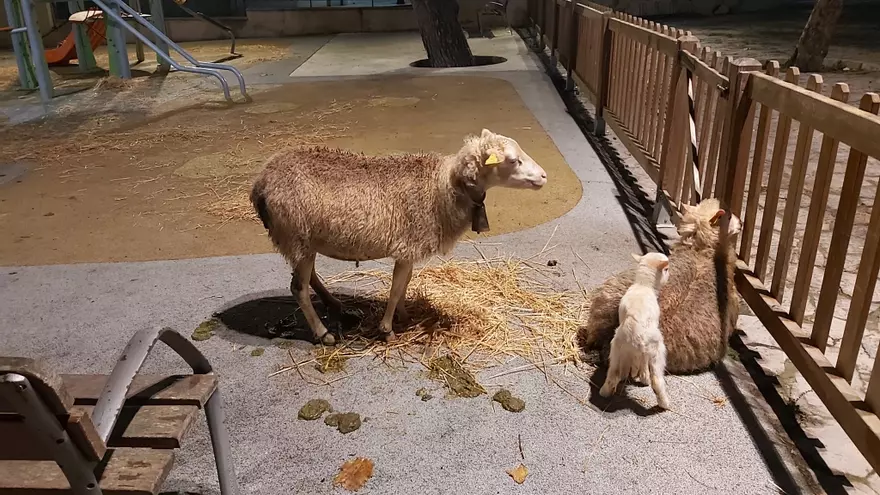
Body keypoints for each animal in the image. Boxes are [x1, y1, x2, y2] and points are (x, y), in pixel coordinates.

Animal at [251, 129, 548, 344]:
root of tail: (260, 184)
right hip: (295, 235)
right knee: (298, 288)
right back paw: (324, 334)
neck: (441, 187)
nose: (544, 176)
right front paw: (387, 329)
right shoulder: (407, 247)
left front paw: (404, 316)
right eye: (513, 160)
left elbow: (405, 283)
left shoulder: (411, 248)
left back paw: (336, 305)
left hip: (304, 241)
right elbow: (395, 289)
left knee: (309, 277)